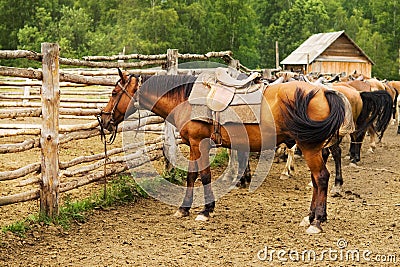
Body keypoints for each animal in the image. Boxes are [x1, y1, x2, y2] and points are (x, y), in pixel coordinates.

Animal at [100, 69, 346, 234]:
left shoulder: (199, 143)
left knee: (321, 178)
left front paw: (203, 211)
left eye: (114, 92)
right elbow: (193, 176)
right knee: (316, 180)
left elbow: (203, 176)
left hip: (309, 146)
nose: (103, 119)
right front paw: (187, 209)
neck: (187, 99)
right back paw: (311, 217)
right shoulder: (195, 145)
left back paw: (316, 221)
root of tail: (324, 92)